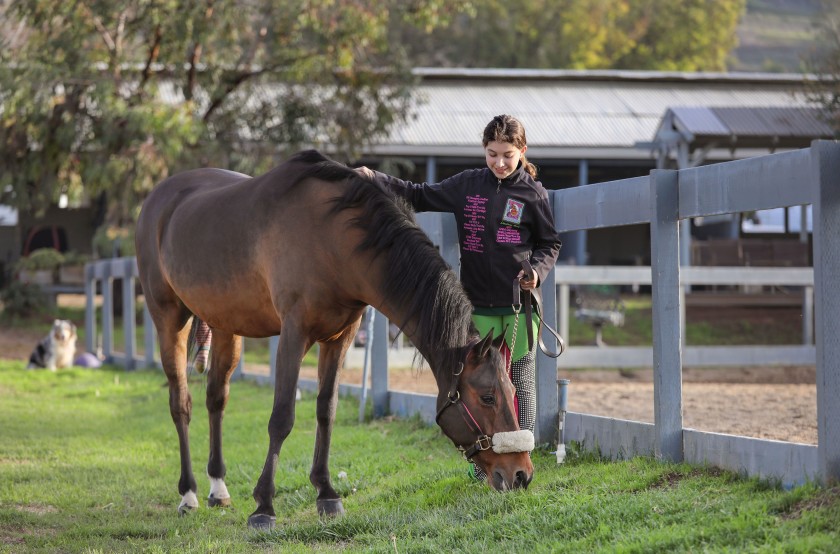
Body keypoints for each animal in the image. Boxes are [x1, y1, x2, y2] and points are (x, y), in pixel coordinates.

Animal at [135, 150, 534, 530]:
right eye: (487, 396)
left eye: (513, 391)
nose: (521, 474)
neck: (331, 238)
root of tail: (157, 199)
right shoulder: (294, 333)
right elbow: (282, 417)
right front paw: (264, 506)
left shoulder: (340, 337)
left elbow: (326, 410)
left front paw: (326, 493)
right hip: (169, 319)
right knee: (181, 403)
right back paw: (188, 494)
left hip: (225, 326)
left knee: (216, 398)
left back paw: (218, 488)